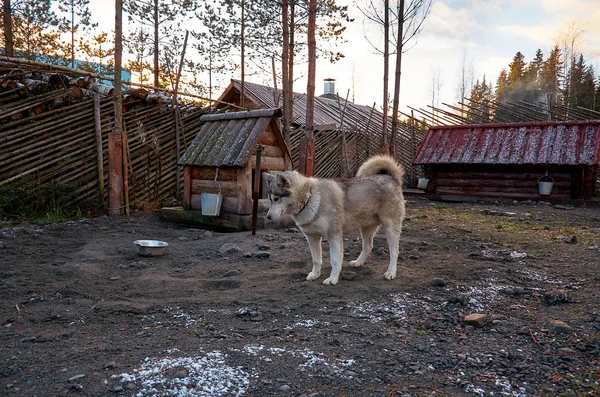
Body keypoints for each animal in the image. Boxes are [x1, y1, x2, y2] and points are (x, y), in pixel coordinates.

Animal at [264, 155, 406, 284]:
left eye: (276, 199)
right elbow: (316, 259)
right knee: (368, 246)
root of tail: (391, 178)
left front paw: (333, 279)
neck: (309, 198)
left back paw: (391, 272)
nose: (268, 217)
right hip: (366, 228)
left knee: (394, 252)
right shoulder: (312, 238)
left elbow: (335, 261)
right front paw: (315, 274)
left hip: (390, 228)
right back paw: (358, 262)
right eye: (270, 199)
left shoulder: (334, 236)